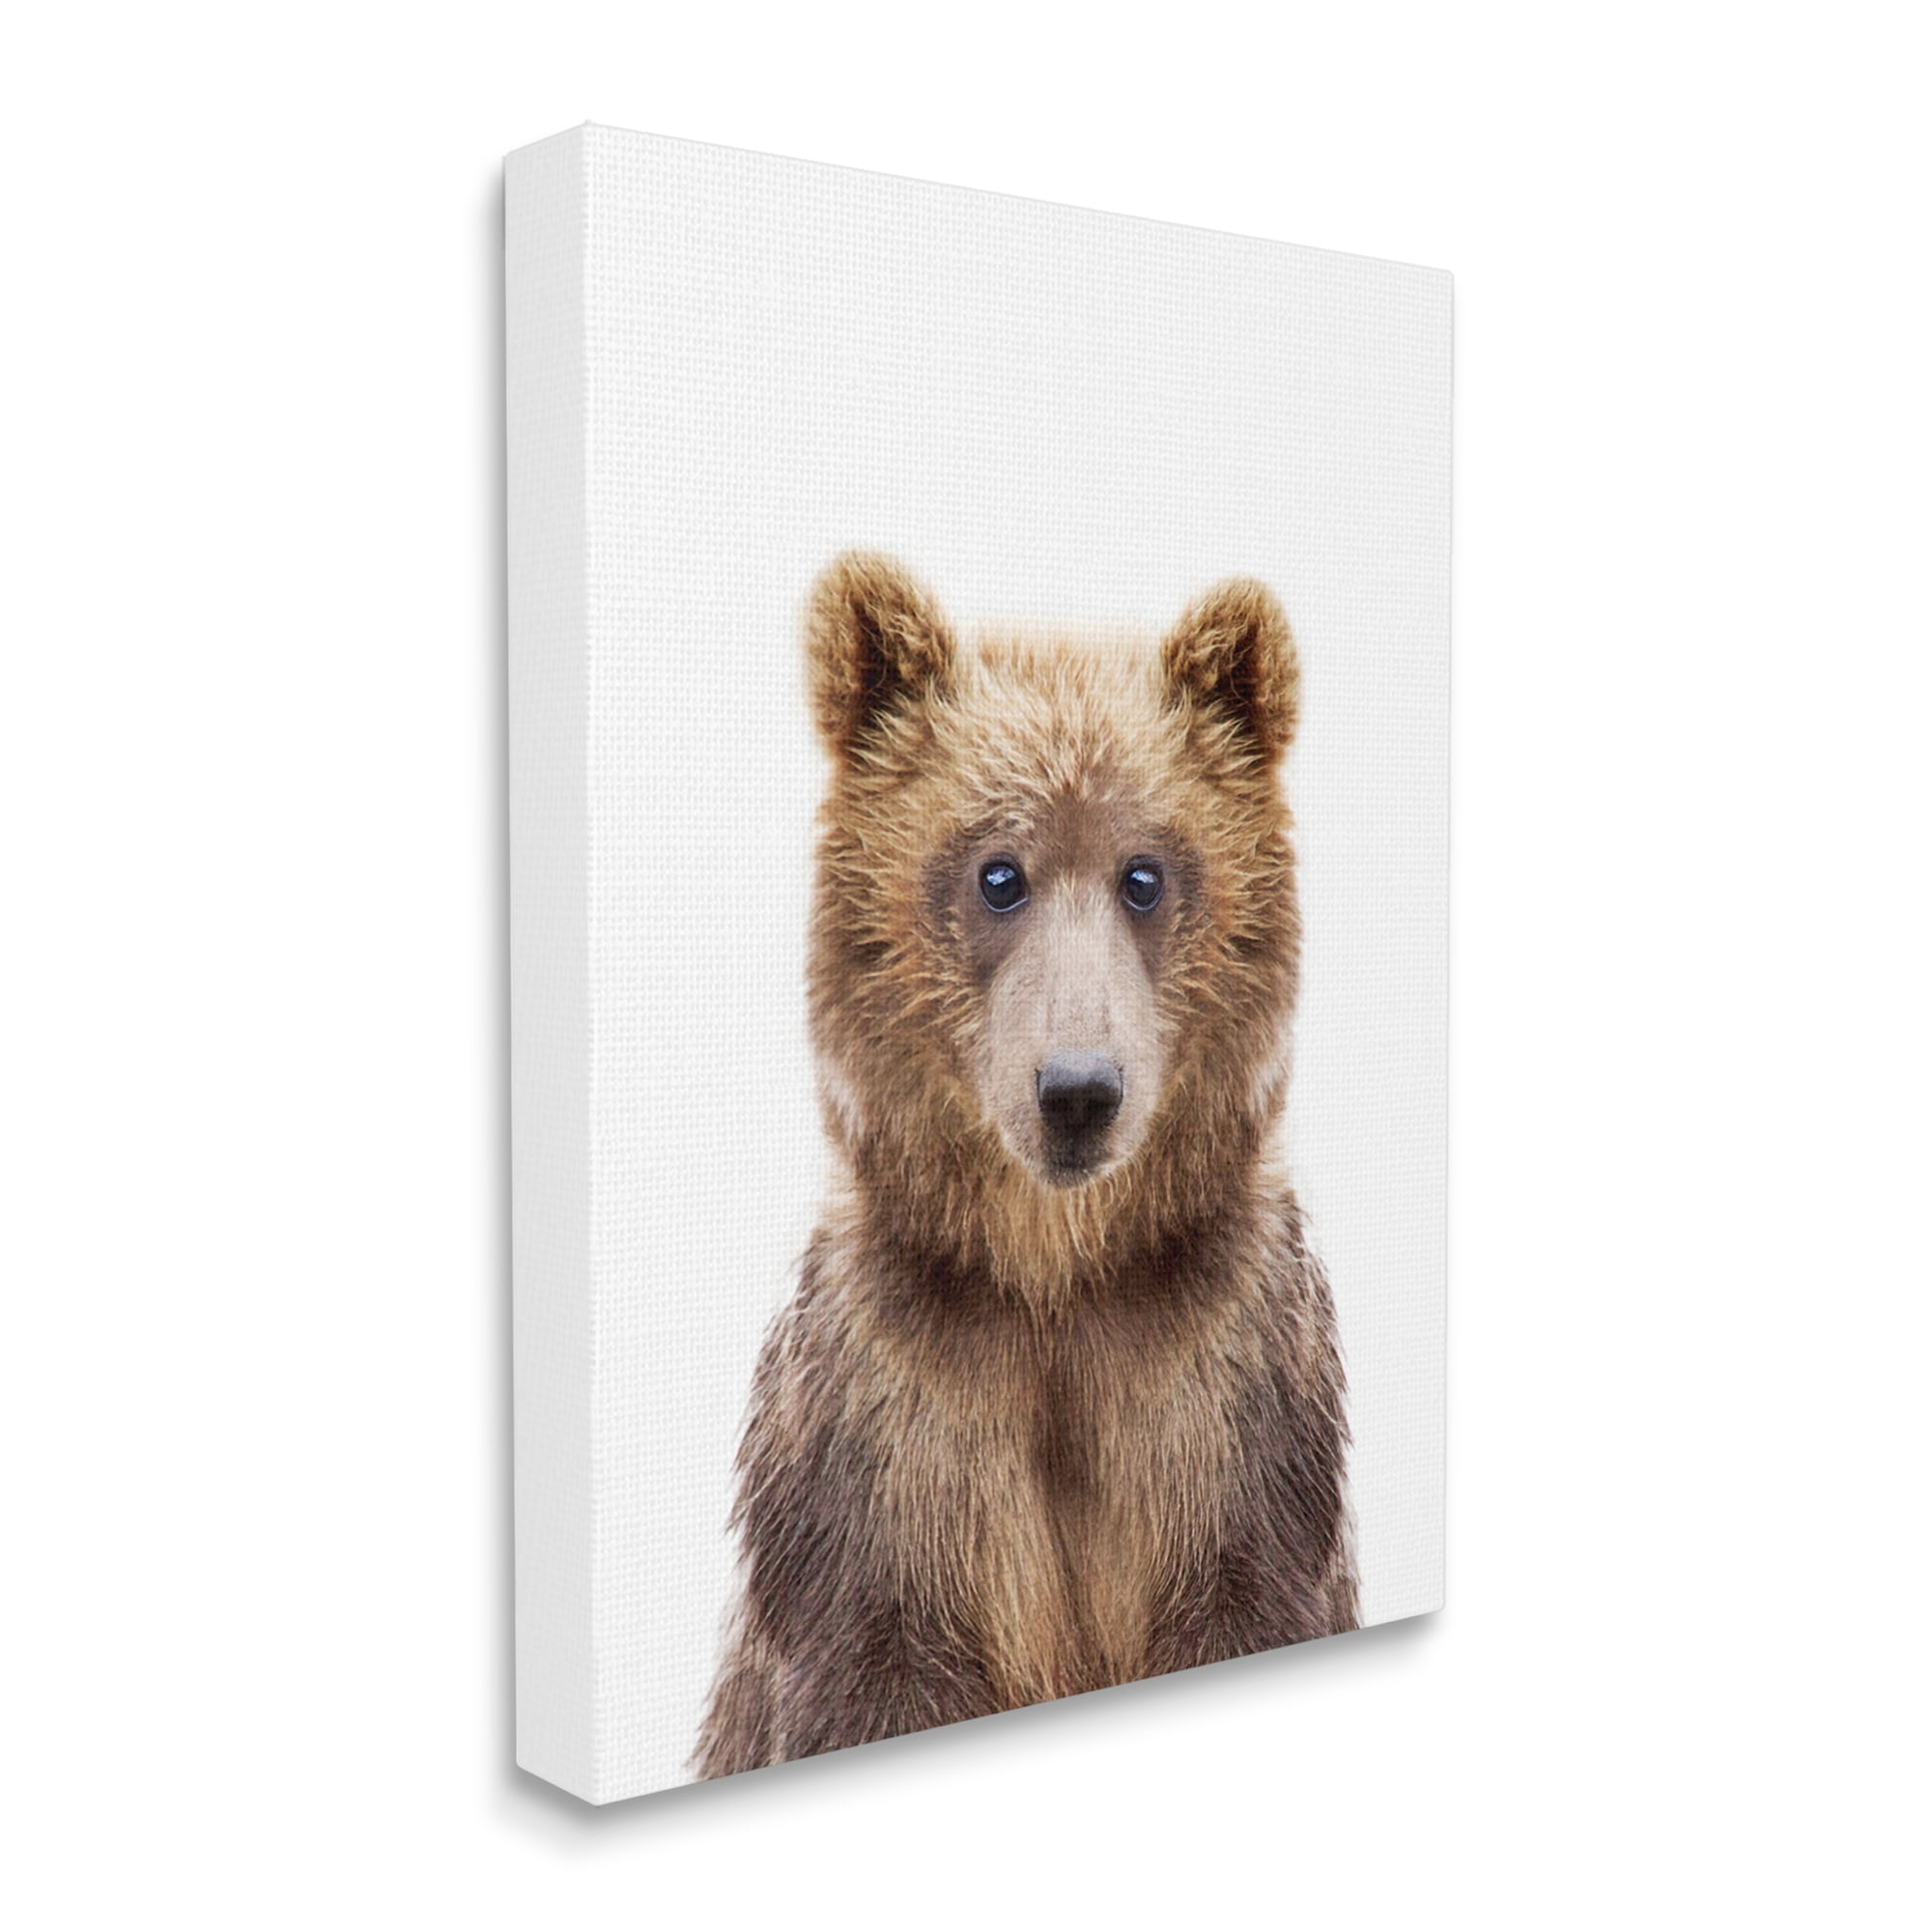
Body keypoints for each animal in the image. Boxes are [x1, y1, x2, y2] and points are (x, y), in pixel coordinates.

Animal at [694, 553, 1356, 1778]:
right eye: (997, 873)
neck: (1055, 1277)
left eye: (1145, 873)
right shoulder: (893, 1442)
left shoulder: (1224, 1412)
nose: (1077, 1092)